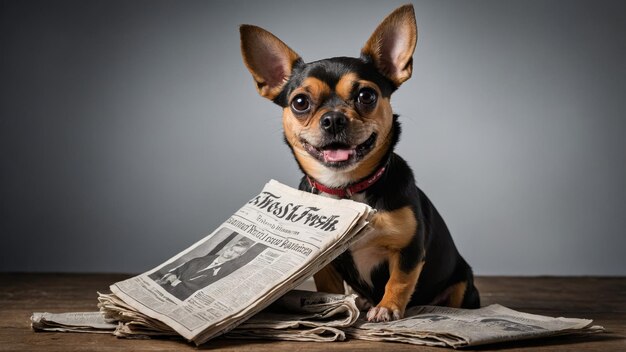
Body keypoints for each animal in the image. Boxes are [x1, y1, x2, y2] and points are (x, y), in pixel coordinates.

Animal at [239, 3, 478, 322]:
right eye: (300, 102)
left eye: (367, 95)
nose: (333, 119)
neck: (349, 189)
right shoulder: (324, 261)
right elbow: (329, 287)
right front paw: (334, 306)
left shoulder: (409, 250)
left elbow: (399, 281)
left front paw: (387, 307)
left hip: (463, 283)